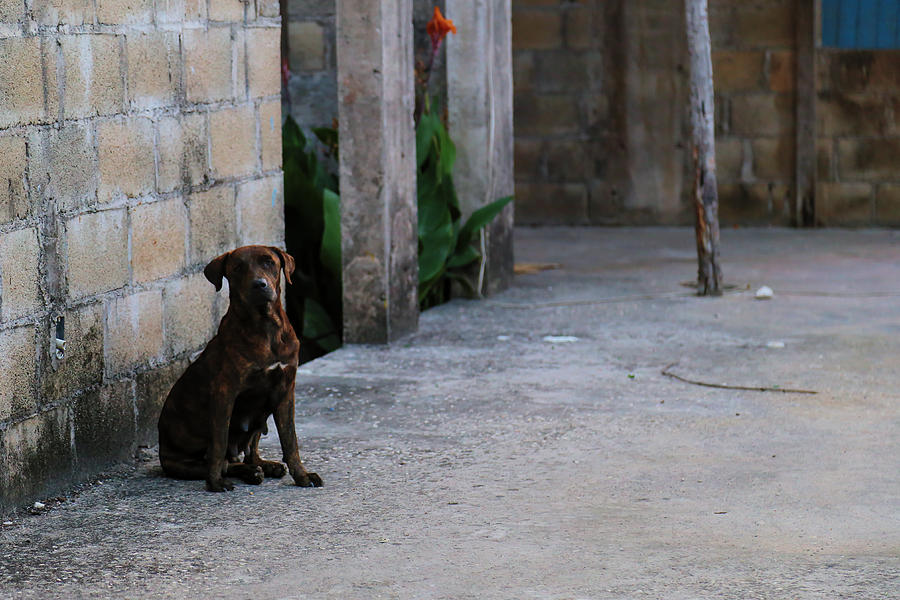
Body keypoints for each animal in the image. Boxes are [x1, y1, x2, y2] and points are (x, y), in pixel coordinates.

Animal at [158, 244, 324, 492]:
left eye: (269, 262)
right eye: (237, 268)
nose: (259, 284)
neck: (266, 325)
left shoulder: (285, 391)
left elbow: (290, 440)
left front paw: (302, 476)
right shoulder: (225, 394)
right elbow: (218, 444)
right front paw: (215, 482)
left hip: (261, 415)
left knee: (249, 452)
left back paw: (263, 466)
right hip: (181, 462)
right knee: (221, 461)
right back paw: (246, 472)